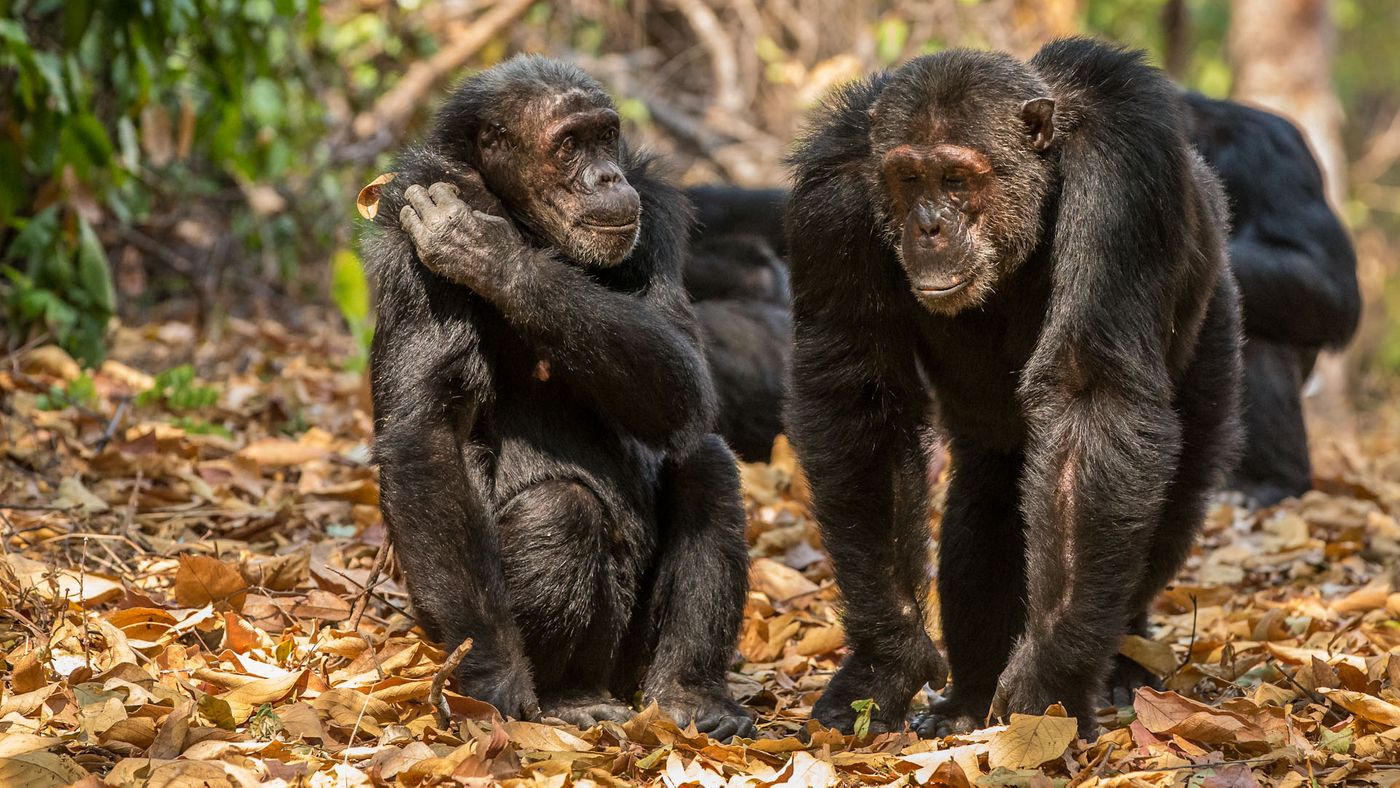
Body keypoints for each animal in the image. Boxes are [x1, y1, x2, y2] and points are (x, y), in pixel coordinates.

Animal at [361, 55, 756, 739]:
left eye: (605, 136)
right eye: (570, 144)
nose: (605, 173)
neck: (524, 219)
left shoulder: (656, 213)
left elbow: (684, 374)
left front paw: (491, 255)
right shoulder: (411, 228)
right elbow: (429, 430)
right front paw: (493, 673)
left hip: (632, 663)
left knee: (707, 465)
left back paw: (690, 696)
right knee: (560, 511)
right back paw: (565, 697)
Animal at [784, 38, 1243, 739]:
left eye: (955, 179)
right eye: (908, 179)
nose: (929, 226)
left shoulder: (1122, 175)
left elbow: (1089, 396)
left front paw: (1051, 680)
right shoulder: (830, 202)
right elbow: (859, 399)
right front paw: (887, 663)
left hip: (1218, 318)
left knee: (1179, 487)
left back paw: (1125, 664)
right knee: (991, 489)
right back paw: (971, 696)